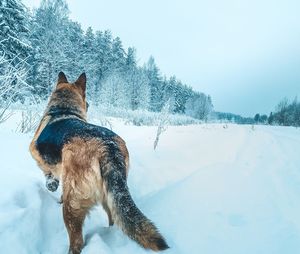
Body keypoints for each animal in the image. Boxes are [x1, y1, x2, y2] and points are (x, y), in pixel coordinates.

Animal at [29, 72, 169, 254]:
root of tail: (107, 146)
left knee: (77, 240)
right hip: (110, 198)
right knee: (114, 219)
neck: (63, 109)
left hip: (72, 205)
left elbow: (47, 172)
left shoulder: (35, 153)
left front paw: (51, 184)